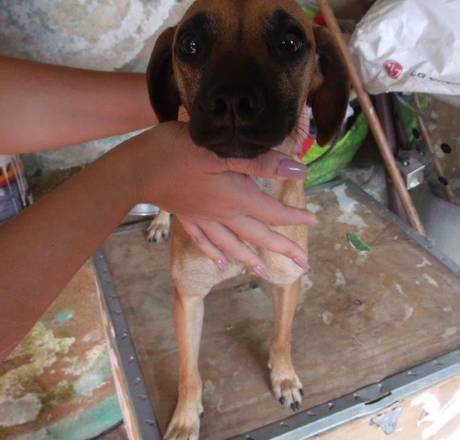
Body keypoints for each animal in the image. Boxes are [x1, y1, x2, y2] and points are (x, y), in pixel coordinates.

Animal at [146, 1, 349, 438]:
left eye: (291, 42)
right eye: (190, 44)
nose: (232, 100)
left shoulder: (288, 280)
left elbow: (281, 337)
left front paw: (284, 377)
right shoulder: (188, 299)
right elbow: (188, 371)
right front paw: (185, 418)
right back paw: (160, 220)